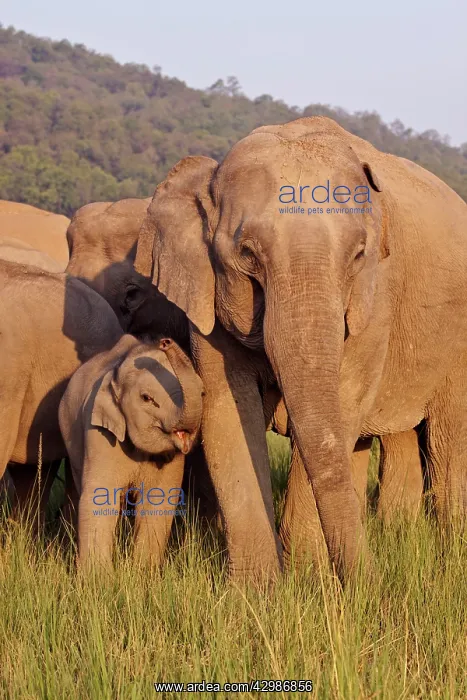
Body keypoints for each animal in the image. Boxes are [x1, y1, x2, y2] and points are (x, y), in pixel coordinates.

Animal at [59, 334, 204, 566]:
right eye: (147, 398)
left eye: (202, 393)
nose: (166, 341)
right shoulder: (100, 433)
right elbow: (100, 496)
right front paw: (97, 575)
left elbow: (159, 500)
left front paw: (143, 571)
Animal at [134, 116, 467, 581]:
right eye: (248, 254)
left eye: (359, 255)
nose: (375, 585)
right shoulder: (206, 305)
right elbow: (225, 410)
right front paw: (258, 588)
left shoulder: (376, 303)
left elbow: (339, 411)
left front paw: (309, 577)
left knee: (446, 440)